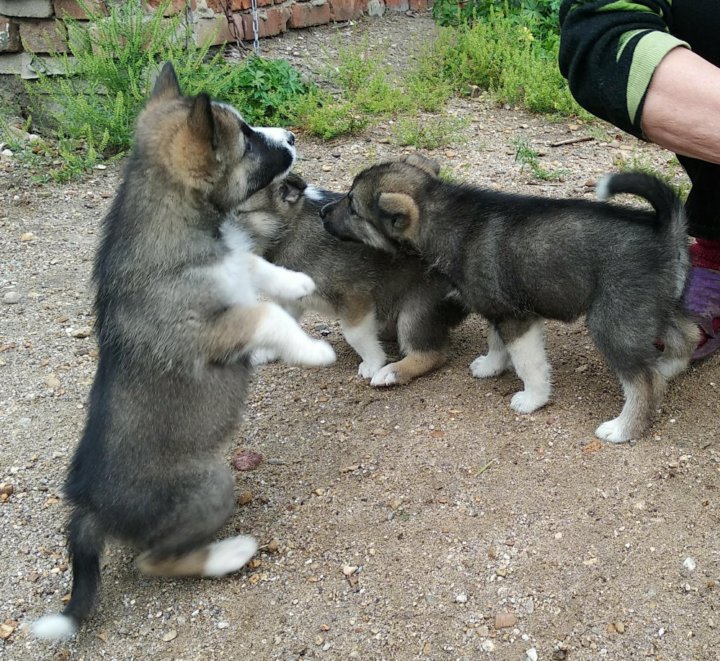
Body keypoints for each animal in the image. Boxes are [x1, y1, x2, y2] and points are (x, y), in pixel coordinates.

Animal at [32, 62, 336, 640]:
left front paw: (299, 281)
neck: (184, 226)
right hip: (211, 485)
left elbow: (257, 267)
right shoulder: (211, 330)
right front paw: (313, 351)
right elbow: (267, 315)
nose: (291, 135)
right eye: (247, 139)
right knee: (152, 562)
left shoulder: (237, 267)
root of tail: (89, 509)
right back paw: (229, 554)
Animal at [233, 171, 470, 386]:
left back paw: (391, 373)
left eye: (238, 213)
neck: (290, 230)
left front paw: (373, 363)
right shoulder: (293, 299)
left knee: (431, 354)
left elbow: (354, 334)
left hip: (415, 311)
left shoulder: (354, 296)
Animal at [320, 155, 696, 444]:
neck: (444, 215)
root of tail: (666, 229)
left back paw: (623, 428)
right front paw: (491, 366)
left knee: (643, 381)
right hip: (650, 307)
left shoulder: (517, 318)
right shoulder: (496, 311)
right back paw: (667, 368)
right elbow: (496, 343)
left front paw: (533, 399)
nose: (322, 211)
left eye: (352, 206)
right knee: (687, 336)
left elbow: (529, 364)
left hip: (613, 320)